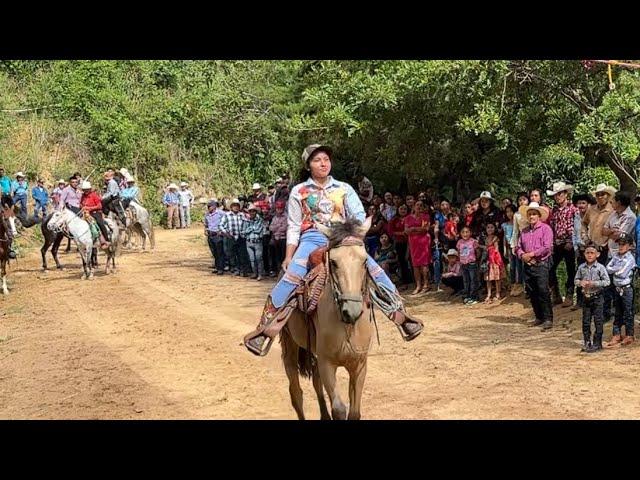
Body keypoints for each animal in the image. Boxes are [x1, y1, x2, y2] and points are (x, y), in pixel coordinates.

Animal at [282, 218, 376, 420]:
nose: (352, 310)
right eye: (333, 262)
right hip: (290, 345)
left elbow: (354, 412)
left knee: (316, 384)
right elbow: (339, 409)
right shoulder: (327, 364)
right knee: (296, 393)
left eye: (365, 260)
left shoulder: (359, 365)